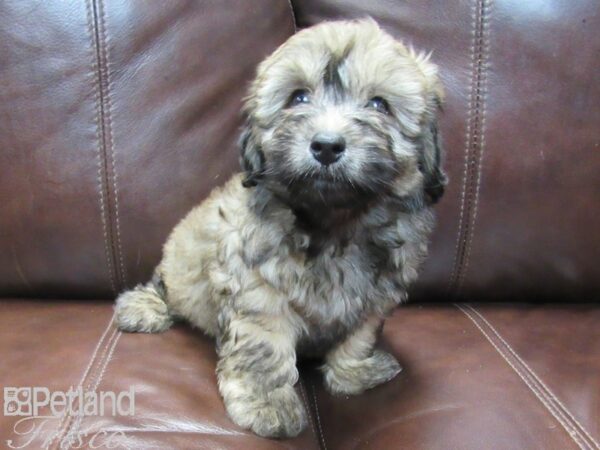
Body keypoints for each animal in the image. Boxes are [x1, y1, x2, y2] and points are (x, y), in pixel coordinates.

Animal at [117, 19, 446, 438]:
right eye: (298, 98)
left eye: (378, 105)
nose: (326, 145)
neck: (333, 224)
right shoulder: (258, 288)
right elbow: (263, 347)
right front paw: (266, 403)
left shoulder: (377, 294)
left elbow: (358, 337)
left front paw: (353, 373)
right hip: (177, 263)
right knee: (165, 285)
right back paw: (144, 307)